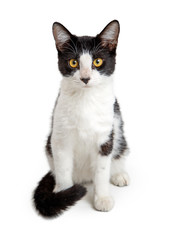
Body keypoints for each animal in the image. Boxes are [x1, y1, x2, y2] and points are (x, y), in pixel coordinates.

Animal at [33, 20, 130, 218]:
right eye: (73, 62)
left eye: (97, 61)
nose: (85, 78)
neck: (85, 100)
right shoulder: (60, 137)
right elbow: (63, 168)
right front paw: (63, 195)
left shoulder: (105, 137)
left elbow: (102, 171)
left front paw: (102, 198)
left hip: (118, 134)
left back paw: (118, 174)